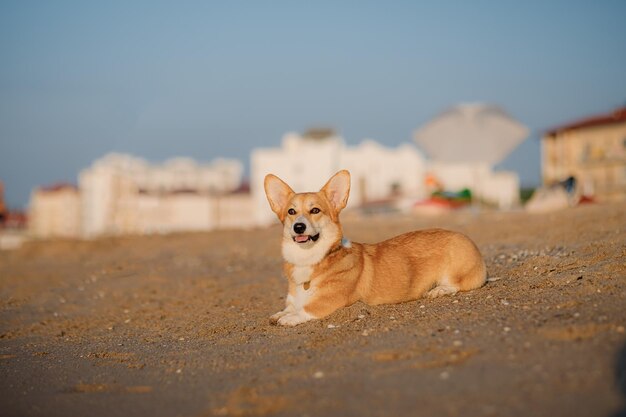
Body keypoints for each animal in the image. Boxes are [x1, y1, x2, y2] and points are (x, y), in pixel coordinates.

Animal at [260, 169, 486, 324]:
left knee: (457, 284)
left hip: (456, 270)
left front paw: (289, 318)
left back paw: (438, 290)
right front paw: (281, 314)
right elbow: (288, 308)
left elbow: (306, 309)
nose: (299, 227)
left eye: (315, 210)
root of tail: (469, 241)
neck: (310, 259)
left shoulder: (327, 302)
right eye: (291, 212)